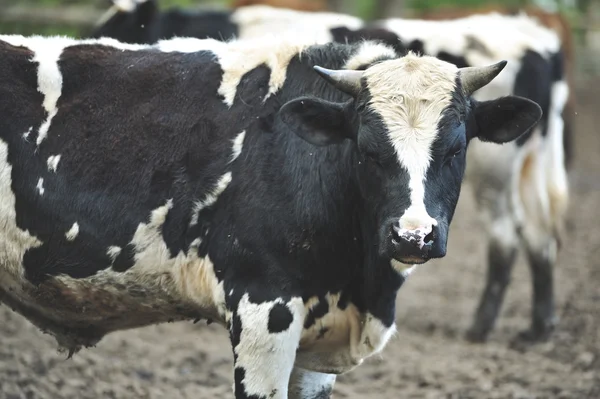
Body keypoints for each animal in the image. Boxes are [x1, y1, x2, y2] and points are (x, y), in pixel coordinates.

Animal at [90, 2, 572, 344]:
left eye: (455, 147)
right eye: (367, 150)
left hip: (496, 173)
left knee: (507, 232)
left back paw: (481, 326)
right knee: (540, 229)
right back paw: (537, 328)